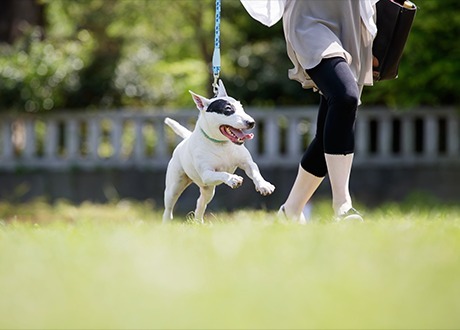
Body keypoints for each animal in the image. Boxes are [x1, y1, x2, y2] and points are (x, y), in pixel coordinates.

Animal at [164, 80, 274, 222]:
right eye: (228, 109)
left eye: (241, 107)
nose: (251, 122)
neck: (221, 144)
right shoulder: (206, 173)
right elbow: (222, 173)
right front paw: (233, 179)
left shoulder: (247, 163)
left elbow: (255, 171)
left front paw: (264, 185)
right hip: (175, 186)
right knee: (169, 206)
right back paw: (167, 221)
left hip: (208, 189)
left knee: (201, 202)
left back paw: (198, 221)